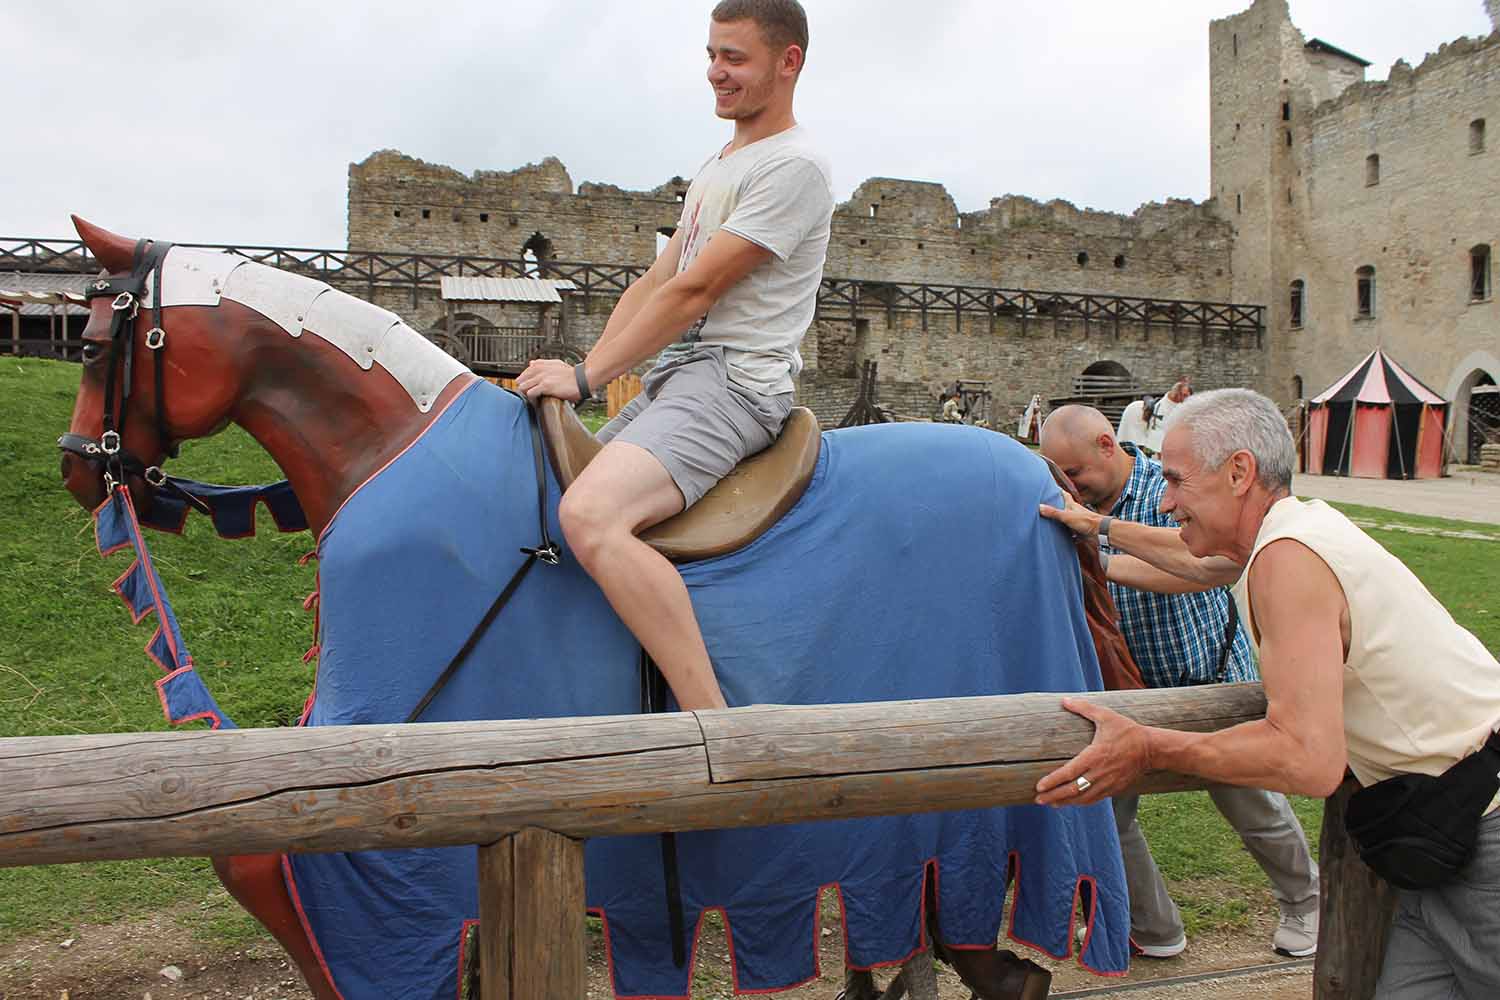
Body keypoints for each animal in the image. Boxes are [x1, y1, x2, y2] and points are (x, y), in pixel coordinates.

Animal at [59, 218, 1138, 1000]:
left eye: (96, 339)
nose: (81, 466)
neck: (384, 448)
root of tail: (1044, 483)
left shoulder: (382, 788)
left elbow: (270, 876)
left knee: (1000, 964)